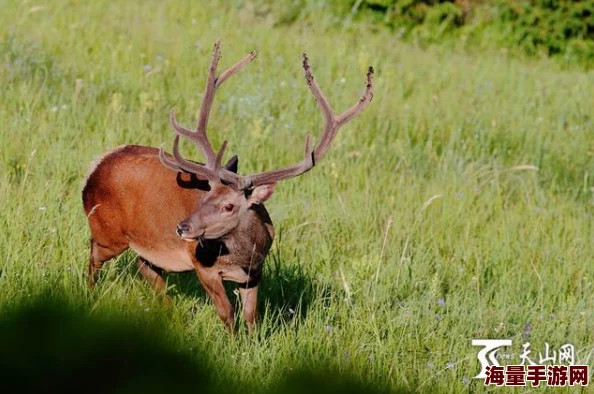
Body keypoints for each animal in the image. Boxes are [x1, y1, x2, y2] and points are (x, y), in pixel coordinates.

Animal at [81, 40, 372, 332]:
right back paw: (89, 295)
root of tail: (95, 166)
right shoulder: (203, 266)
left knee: (148, 271)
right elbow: (227, 314)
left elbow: (252, 316)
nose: (182, 227)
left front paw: (252, 341)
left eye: (228, 206)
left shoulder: (255, 273)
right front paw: (231, 341)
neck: (242, 256)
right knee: (94, 256)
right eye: (204, 197)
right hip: (107, 231)